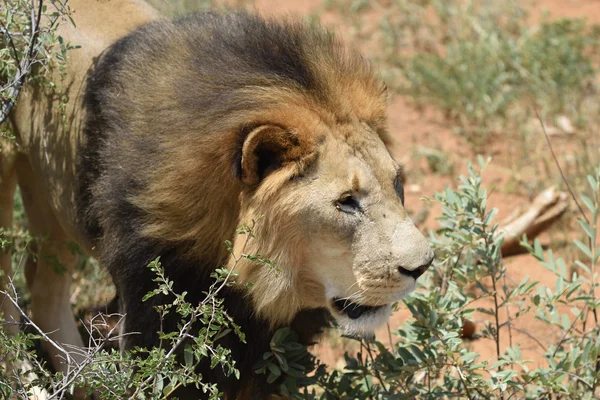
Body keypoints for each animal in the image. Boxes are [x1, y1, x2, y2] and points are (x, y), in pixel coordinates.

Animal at [0, 1, 434, 398]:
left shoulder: (274, 353)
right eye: (346, 201)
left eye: (397, 183)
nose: (423, 267)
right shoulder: (154, 318)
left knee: (44, 287)